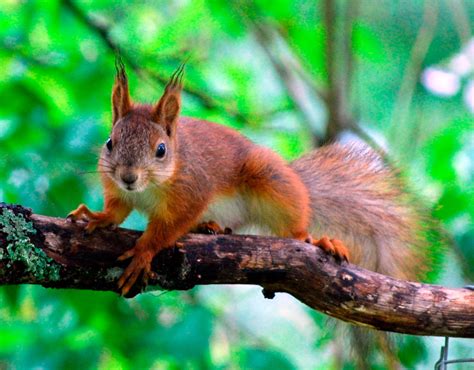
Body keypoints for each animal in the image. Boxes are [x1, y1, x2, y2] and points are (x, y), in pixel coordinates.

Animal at [68, 62, 428, 296]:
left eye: (161, 150)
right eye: (110, 142)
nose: (129, 177)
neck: (149, 188)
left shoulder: (192, 191)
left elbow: (168, 228)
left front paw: (144, 251)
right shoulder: (117, 188)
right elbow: (116, 210)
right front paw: (97, 217)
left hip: (270, 179)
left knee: (295, 230)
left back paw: (316, 240)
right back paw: (208, 226)